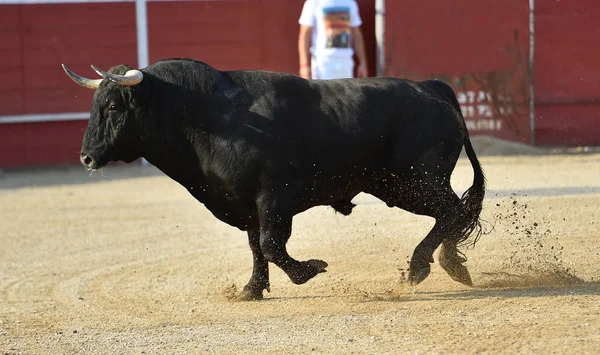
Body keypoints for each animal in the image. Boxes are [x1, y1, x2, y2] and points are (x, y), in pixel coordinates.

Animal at [62, 57, 482, 300]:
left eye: (113, 105)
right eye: (95, 104)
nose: (86, 157)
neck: (207, 117)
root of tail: (430, 86)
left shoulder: (274, 197)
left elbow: (270, 244)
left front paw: (309, 270)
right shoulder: (246, 201)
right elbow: (256, 246)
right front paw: (251, 289)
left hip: (414, 181)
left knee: (452, 211)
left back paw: (419, 268)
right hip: (399, 185)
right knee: (455, 212)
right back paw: (451, 264)